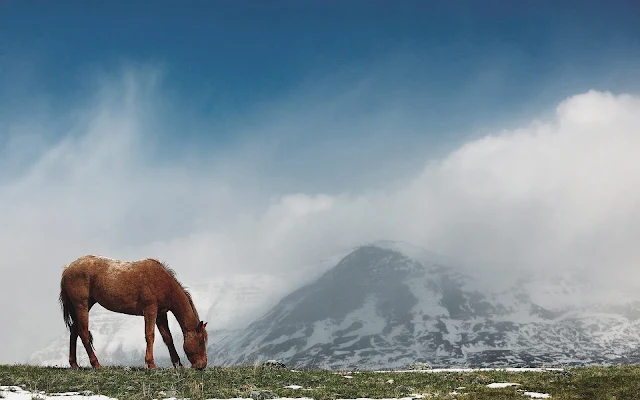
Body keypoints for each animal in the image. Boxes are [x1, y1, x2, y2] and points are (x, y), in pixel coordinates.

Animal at [57, 255, 208, 370]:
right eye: (201, 342)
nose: (202, 365)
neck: (162, 281)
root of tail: (68, 268)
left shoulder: (161, 314)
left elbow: (167, 338)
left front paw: (178, 364)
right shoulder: (150, 310)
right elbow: (150, 336)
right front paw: (151, 364)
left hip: (84, 306)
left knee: (74, 331)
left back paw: (74, 364)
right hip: (81, 305)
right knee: (83, 333)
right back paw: (96, 364)